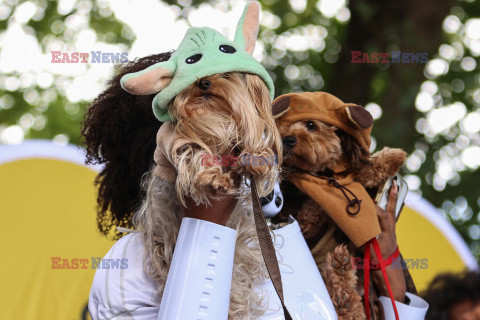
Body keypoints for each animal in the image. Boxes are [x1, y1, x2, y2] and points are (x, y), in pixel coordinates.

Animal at [272, 91, 406, 318]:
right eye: (282, 127)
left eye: (311, 125)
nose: (286, 139)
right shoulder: (304, 220)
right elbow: (315, 206)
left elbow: (359, 172)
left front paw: (389, 158)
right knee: (350, 307)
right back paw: (342, 278)